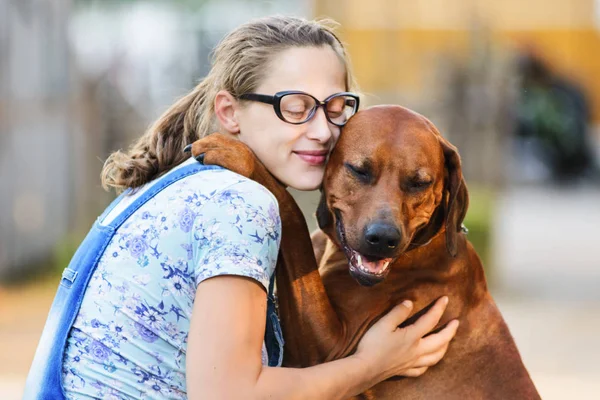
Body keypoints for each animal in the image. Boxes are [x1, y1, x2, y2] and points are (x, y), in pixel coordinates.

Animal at [190, 106, 540, 400]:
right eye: (359, 170)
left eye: (419, 183)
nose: (383, 238)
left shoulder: (328, 349)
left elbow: (291, 213)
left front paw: (239, 153)